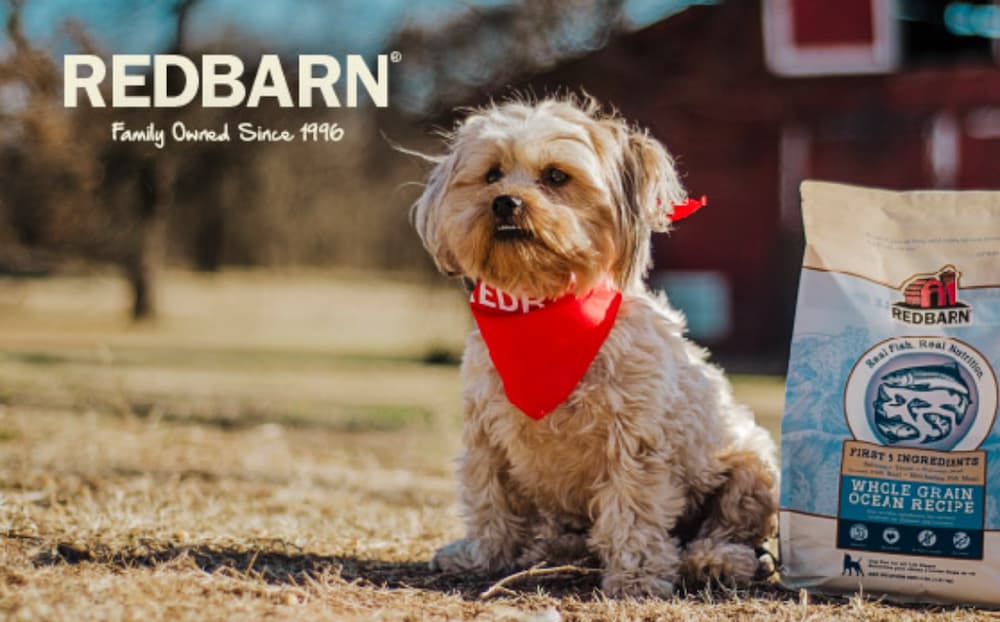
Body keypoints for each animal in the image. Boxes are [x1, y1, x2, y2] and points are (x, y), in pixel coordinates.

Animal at [410, 94, 776, 600]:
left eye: (556, 176)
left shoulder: (634, 442)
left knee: (728, 532)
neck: (542, 303)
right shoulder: (487, 437)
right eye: (492, 174)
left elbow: (633, 511)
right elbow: (490, 501)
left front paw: (637, 576)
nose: (505, 202)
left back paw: (712, 561)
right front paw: (485, 556)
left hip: (749, 467)